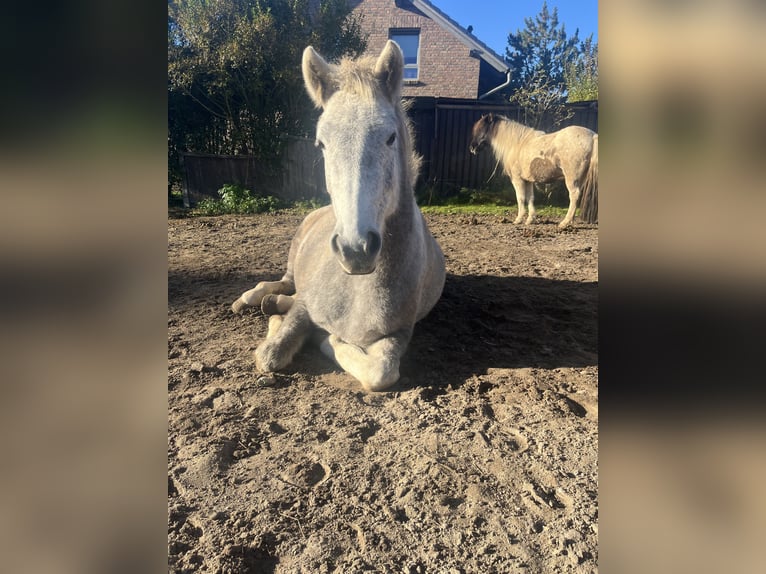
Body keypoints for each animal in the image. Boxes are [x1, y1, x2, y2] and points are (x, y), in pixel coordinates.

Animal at [231, 41, 446, 392]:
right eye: (321, 142)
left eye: (390, 137)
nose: (355, 249)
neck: (358, 291)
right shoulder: (306, 304)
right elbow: (271, 354)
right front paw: (284, 326)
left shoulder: (398, 334)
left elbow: (381, 371)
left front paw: (325, 338)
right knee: (281, 282)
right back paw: (252, 299)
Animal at [469, 114, 598, 227]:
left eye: (481, 129)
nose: (472, 148)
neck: (517, 143)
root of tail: (592, 136)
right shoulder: (528, 180)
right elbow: (530, 198)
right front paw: (530, 219)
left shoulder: (517, 179)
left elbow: (520, 198)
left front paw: (518, 219)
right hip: (580, 179)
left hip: (571, 178)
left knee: (574, 195)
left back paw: (564, 223)